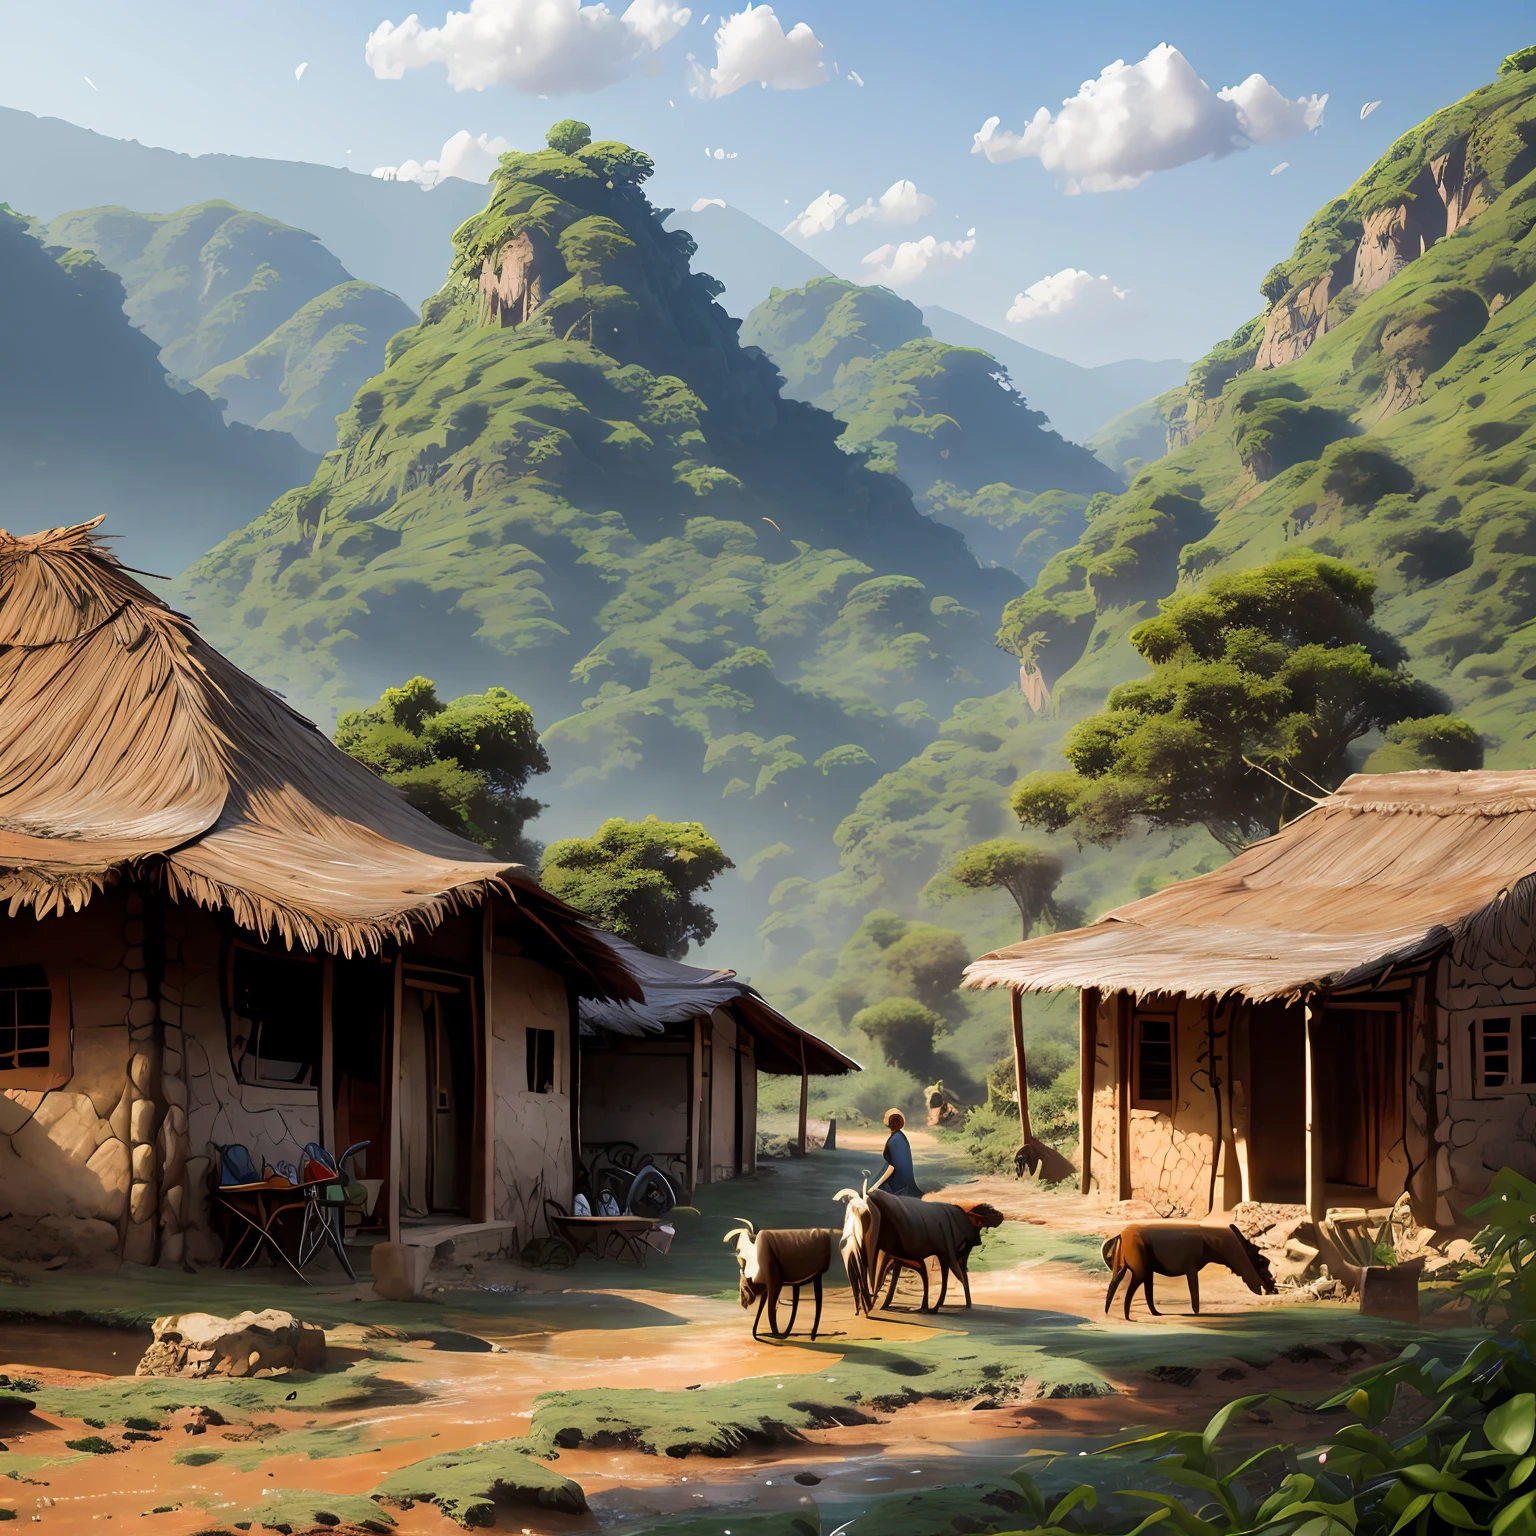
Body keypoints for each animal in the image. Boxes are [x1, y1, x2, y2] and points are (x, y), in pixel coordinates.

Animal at [1099, 1222, 1277, 1320]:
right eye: (1262, 1262)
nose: (1273, 1287)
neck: (1213, 1247)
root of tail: (1119, 1236)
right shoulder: (1191, 1267)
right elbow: (1195, 1294)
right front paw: (1197, 1313)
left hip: (1131, 1266)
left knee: (1116, 1284)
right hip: (1138, 1267)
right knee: (1127, 1286)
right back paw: (1127, 1317)